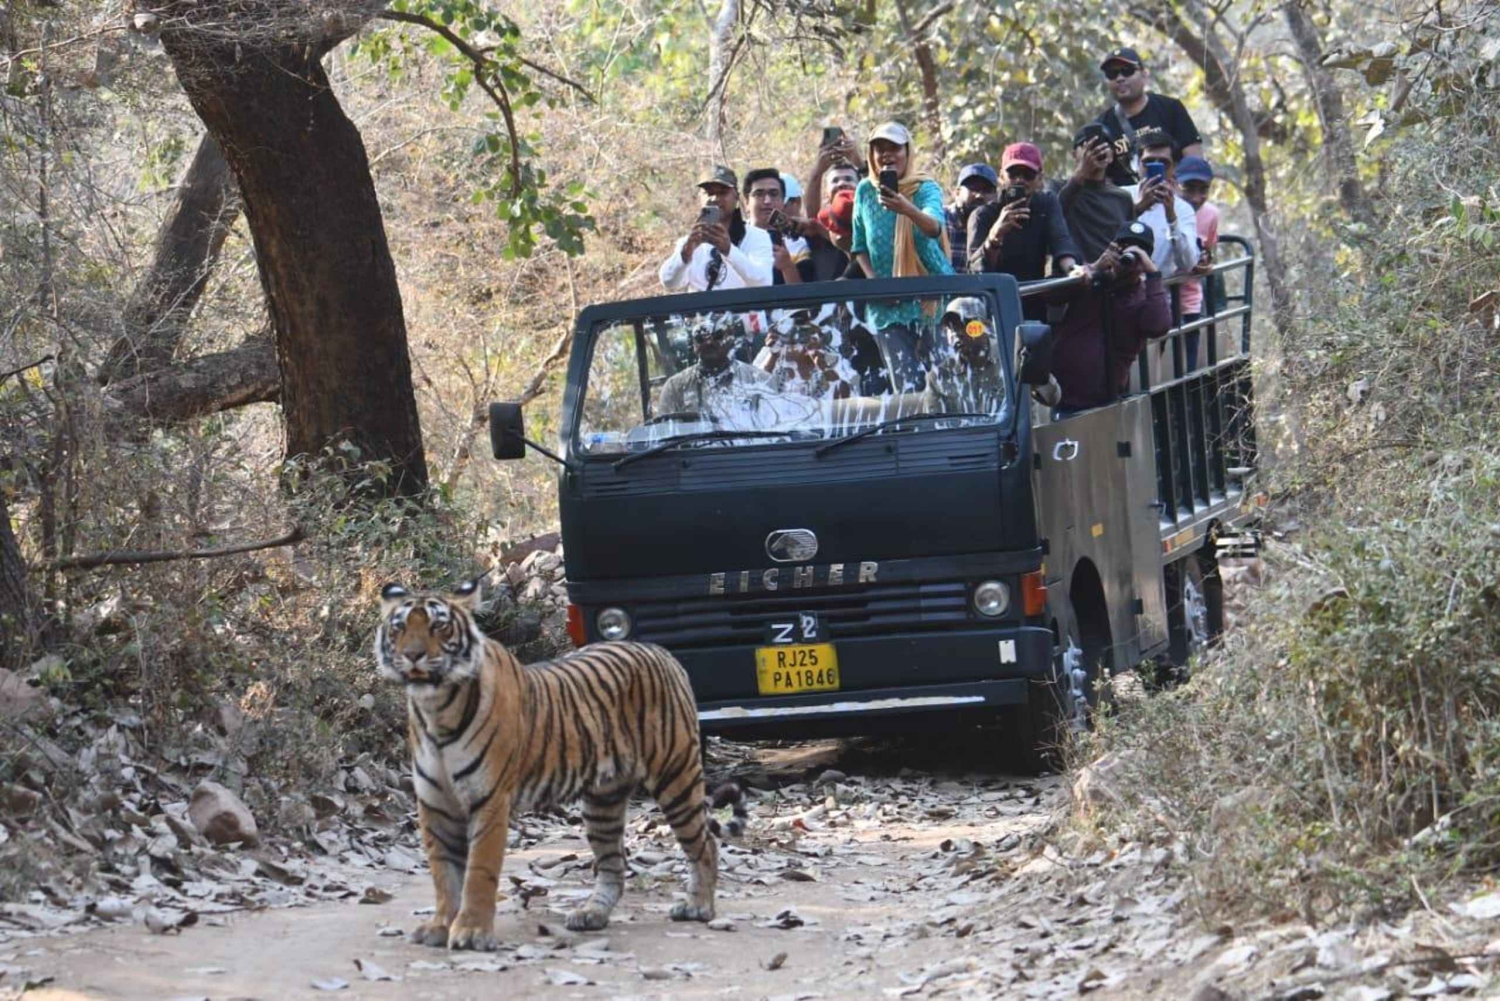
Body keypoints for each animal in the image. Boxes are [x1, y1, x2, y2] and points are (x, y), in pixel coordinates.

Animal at [374, 578, 747, 952]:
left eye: (439, 625)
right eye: (400, 627)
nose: (413, 655)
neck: (436, 707)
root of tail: (662, 652)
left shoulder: (489, 799)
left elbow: (478, 871)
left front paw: (471, 932)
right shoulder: (435, 803)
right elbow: (443, 872)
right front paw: (439, 926)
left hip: (676, 775)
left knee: (705, 844)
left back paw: (698, 906)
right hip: (603, 802)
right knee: (614, 864)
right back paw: (591, 914)